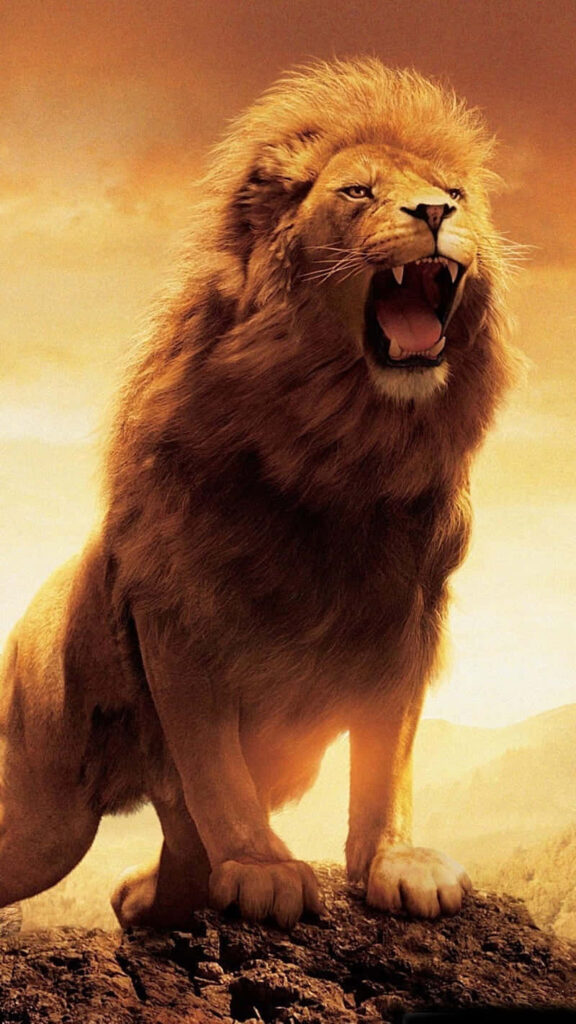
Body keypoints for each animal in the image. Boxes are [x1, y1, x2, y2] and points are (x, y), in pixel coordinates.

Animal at [0, 59, 515, 930]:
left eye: (454, 191)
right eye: (358, 192)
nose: (435, 212)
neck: (342, 448)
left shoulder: (406, 616)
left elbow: (387, 761)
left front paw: (396, 862)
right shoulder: (179, 615)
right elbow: (213, 767)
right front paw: (262, 867)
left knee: (171, 846)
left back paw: (149, 896)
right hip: (45, 814)